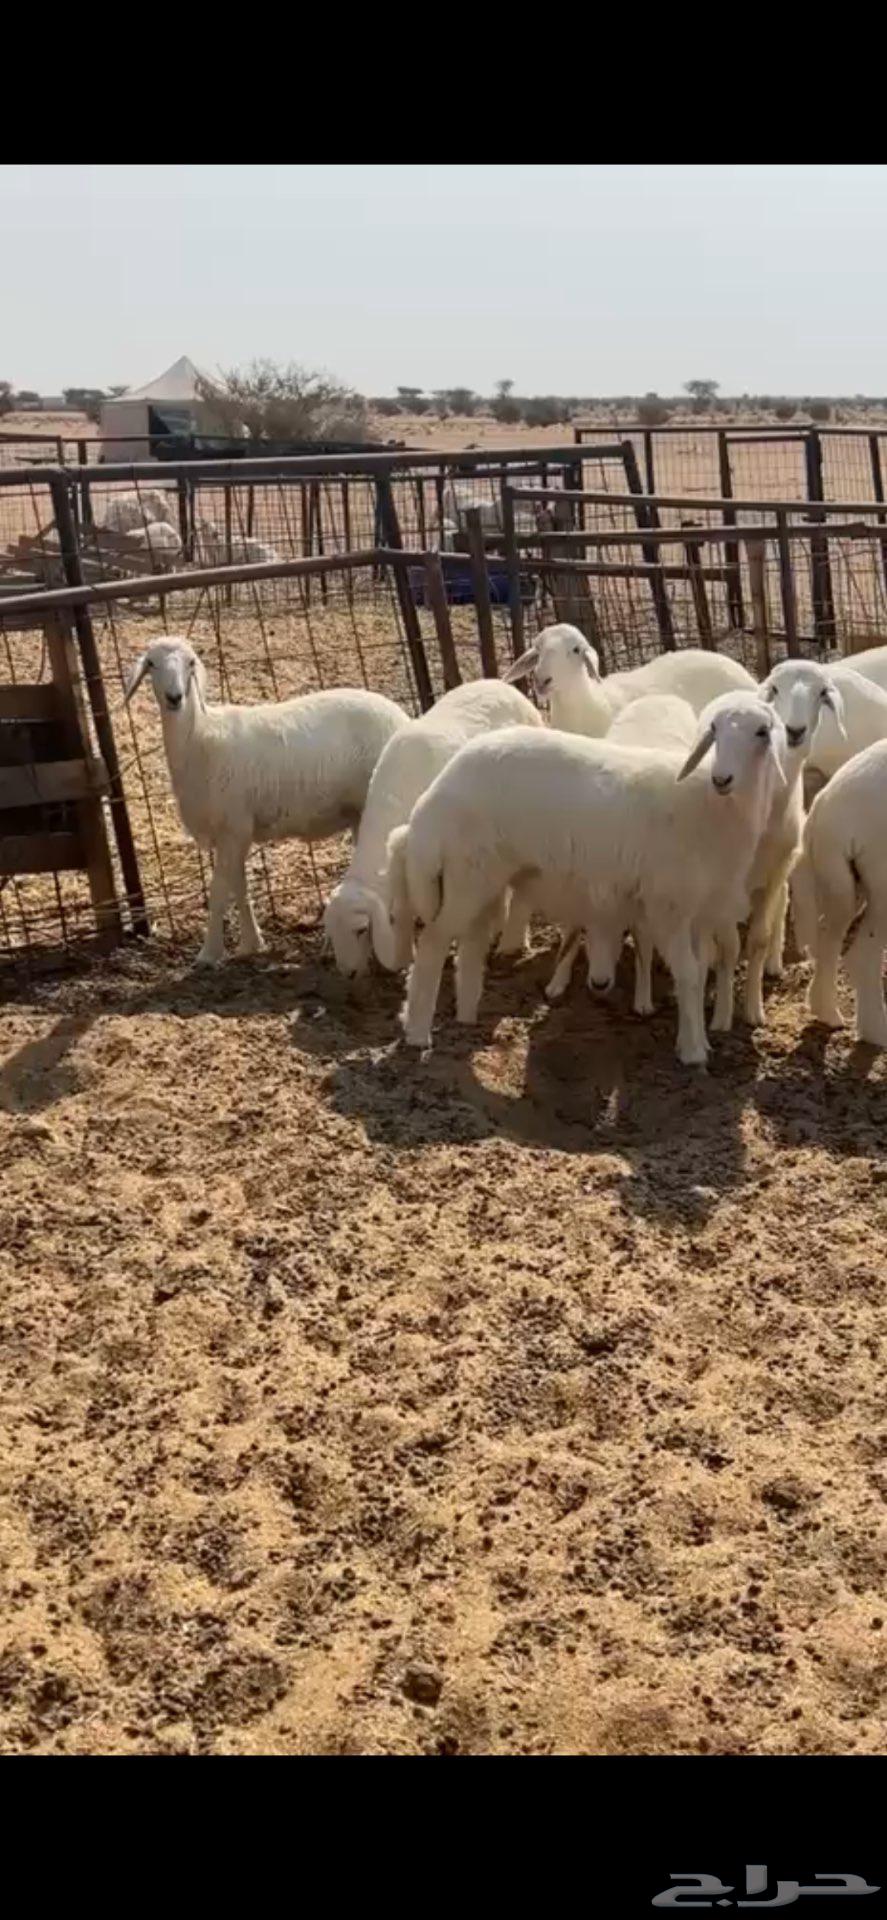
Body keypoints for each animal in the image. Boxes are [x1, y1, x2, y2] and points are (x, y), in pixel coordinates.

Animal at [123, 637, 408, 966]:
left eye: (190, 663)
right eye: (151, 663)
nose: (175, 697)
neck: (199, 738)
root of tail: (403, 717)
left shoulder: (234, 827)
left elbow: (219, 892)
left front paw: (208, 954)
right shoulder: (234, 833)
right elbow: (240, 887)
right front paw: (251, 943)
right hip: (362, 813)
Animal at [322, 679, 542, 979]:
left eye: (361, 930)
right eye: (330, 933)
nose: (349, 974)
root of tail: (503, 684)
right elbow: (403, 906)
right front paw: (405, 957)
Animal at [389, 692, 786, 1065]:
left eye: (762, 732)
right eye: (715, 730)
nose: (723, 779)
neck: (712, 808)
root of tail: (430, 801)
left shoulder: (697, 911)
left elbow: (700, 972)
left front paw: (699, 1039)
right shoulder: (668, 905)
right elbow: (688, 974)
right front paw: (692, 1052)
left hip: (482, 877)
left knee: (469, 946)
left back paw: (467, 1017)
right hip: (465, 875)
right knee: (434, 943)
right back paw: (418, 1033)